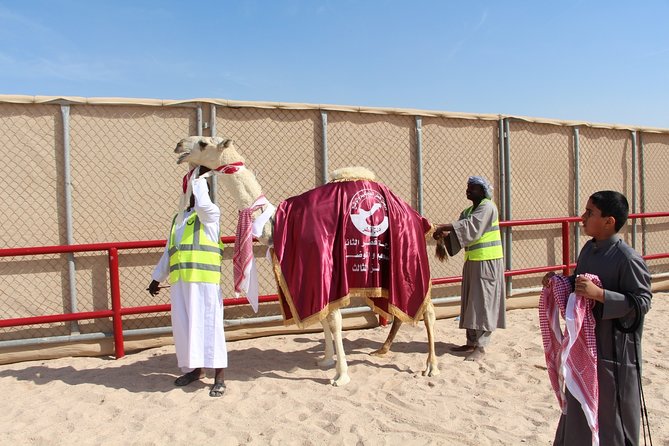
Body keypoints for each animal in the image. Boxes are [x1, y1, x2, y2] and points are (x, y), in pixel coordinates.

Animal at [174, 136, 439, 386]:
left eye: (203, 142)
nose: (178, 145)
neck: (275, 222)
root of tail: (421, 219)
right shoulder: (309, 280)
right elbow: (322, 318)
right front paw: (326, 360)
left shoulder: (327, 271)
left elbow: (334, 321)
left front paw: (341, 376)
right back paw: (383, 350)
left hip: (410, 261)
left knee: (428, 309)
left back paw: (431, 367)